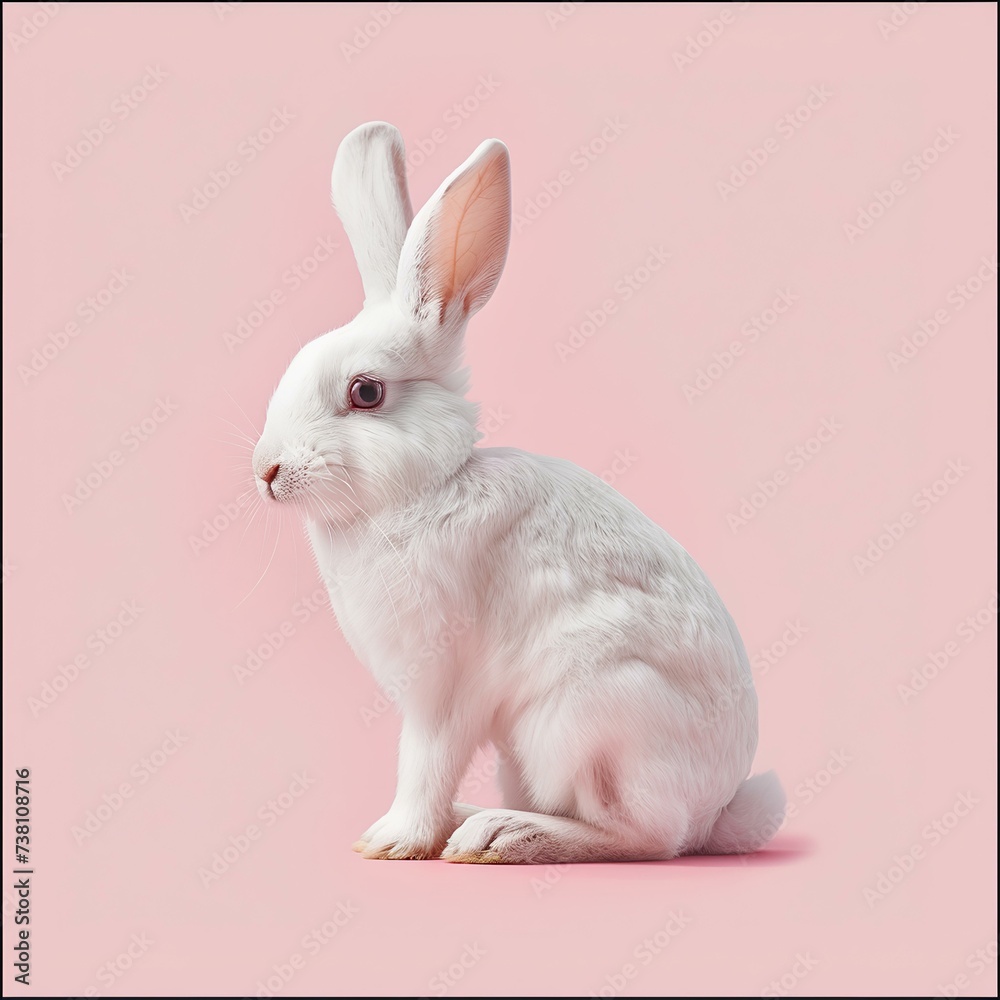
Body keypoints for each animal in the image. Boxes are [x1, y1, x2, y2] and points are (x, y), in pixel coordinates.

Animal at [251, 121, 785, 863]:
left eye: (366, 392)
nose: (266, 471)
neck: (425, 488)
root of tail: (718, 812)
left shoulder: (444, 686)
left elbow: (424, 761)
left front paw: (392, 840)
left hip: (581, 720)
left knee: (644, 838)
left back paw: (498, 835)